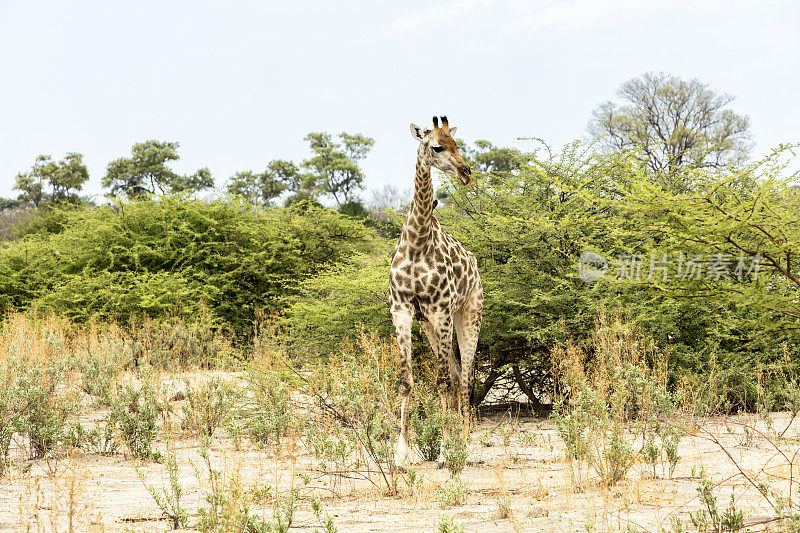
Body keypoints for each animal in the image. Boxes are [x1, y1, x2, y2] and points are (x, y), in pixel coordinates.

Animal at [390, 114, 482, 464]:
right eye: (437, 146)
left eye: (457, 143)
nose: (466, 172)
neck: (417, 243)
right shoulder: (403, 312)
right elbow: (406, 381)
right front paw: (400, 453)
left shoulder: (441, 312)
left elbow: (441, 381)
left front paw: (443, 450)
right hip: (430, 326)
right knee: (457, 375)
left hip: (468, 315)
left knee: (465, 377)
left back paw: (466, 447)